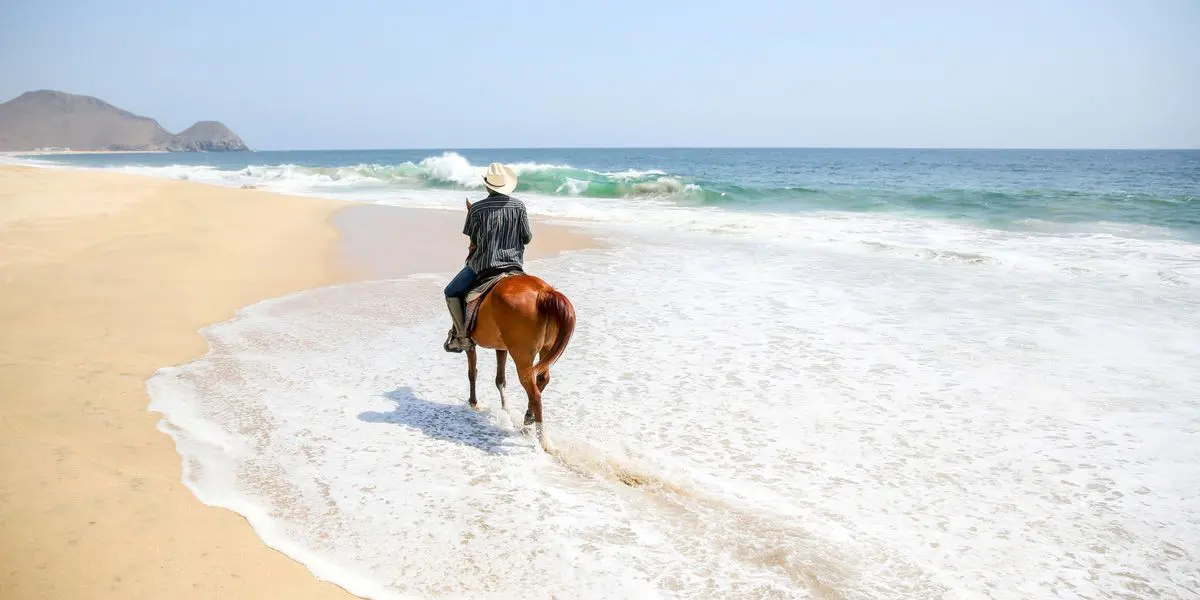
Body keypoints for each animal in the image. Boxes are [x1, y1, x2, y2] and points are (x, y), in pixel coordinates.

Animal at [463, 273, 576, 451]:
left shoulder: (470, 343)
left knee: (534, 393)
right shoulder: (501, 347)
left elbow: (472, 372)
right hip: (545, 348)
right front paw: (505, 410)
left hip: (522, 356)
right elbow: (500, 380)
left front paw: (474, 403)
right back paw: (527, 420)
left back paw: (543, 440)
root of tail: (545, 291)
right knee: (542, 380)